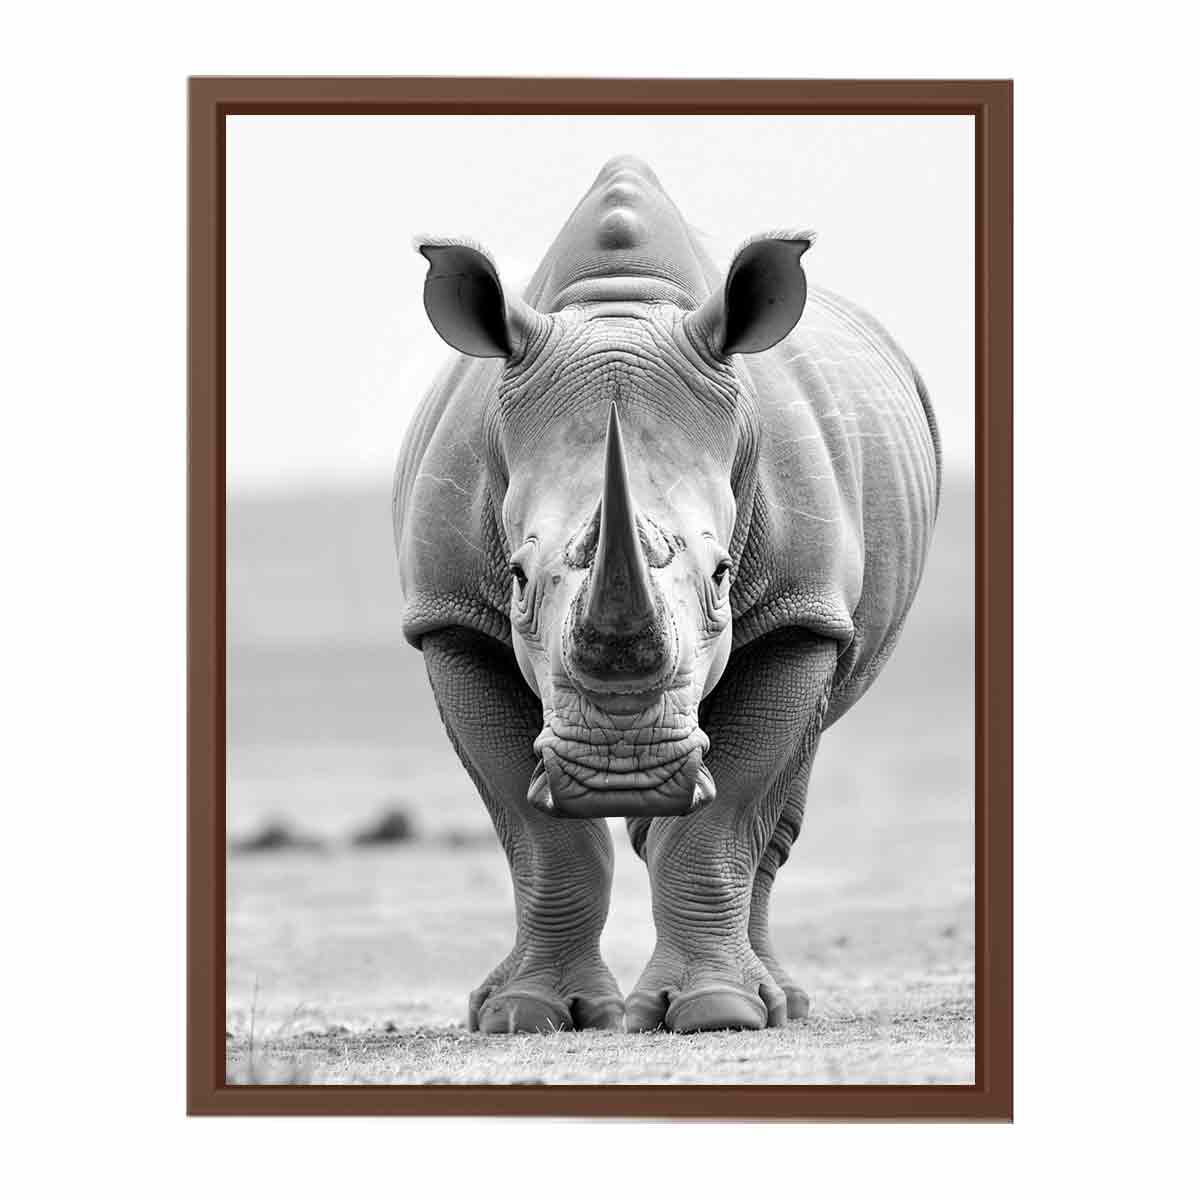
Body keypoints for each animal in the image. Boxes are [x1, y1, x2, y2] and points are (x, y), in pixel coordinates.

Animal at [393, 155, 940, 1034]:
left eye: (722, 576)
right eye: (517, 578)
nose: (623, 770)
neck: (620, 308)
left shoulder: (800, 611)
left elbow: (726, 815)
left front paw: (718, 1012)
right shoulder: (450, 619)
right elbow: (536, 830)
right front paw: (523, 1015)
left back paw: (781, 1003)